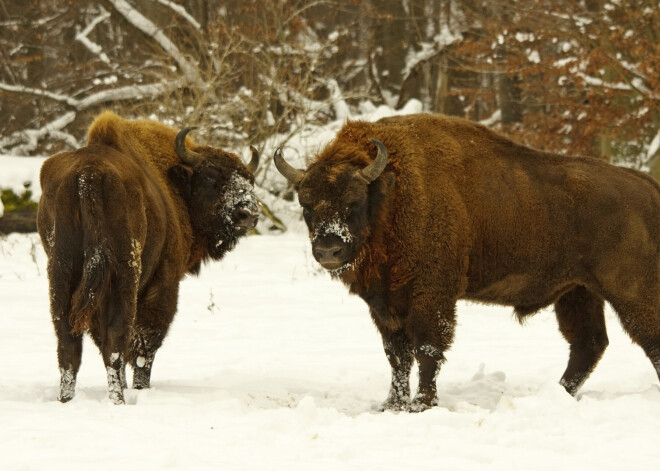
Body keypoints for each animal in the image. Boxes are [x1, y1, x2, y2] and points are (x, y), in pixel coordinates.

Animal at [35, 111, 258, 406]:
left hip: (61, 275)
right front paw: (140, 388)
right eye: (211, 178)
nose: (249, 214)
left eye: (249, 180)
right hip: (124, 277)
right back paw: (118, 400)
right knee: (118, 341)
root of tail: (89, 174)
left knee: (69, 344)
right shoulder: (163, 283)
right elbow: (144, 344)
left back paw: (67, 400)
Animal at [276, 112, 660, 412]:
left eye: (353, 202)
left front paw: (421, 404)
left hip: (630, 290)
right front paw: (392, 404)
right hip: (578, 292)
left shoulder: (432, 295)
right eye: (306, 205)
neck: (392, 193)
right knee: (588, 344)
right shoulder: (385, 304)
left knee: (646, 339)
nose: (328, 250)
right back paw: (559, 394)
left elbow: (427, 349)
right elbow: (397, 355)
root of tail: (647, 186)